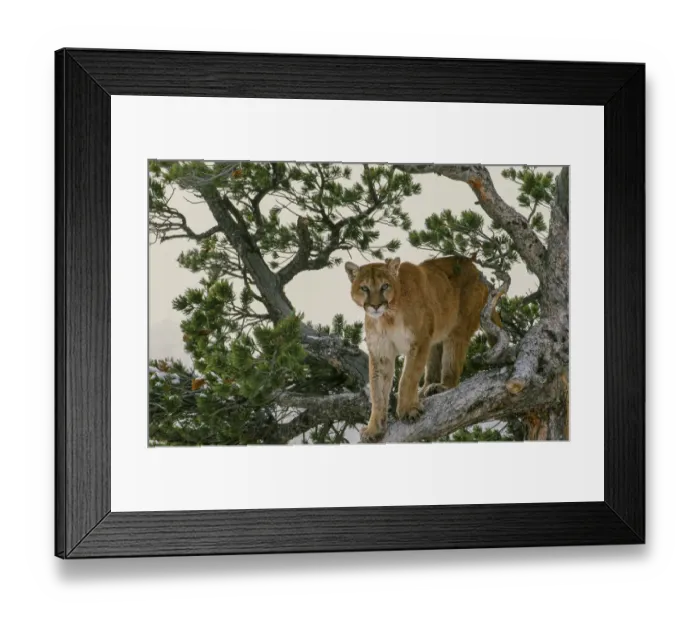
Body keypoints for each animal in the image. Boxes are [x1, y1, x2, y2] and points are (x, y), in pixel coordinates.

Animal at [345, 255, 501, 442]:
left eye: (385, 286)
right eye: (364, 288)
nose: (375, 306)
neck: (387, 317)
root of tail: (474, 268)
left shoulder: (419, 342)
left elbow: (408, 377)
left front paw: (407, 410)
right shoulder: (381, 353)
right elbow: (377, 393)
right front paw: (374, 429)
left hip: (458, 330)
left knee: (452, 368)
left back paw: (441, 387)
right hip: (435, 337)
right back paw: (426, 389)